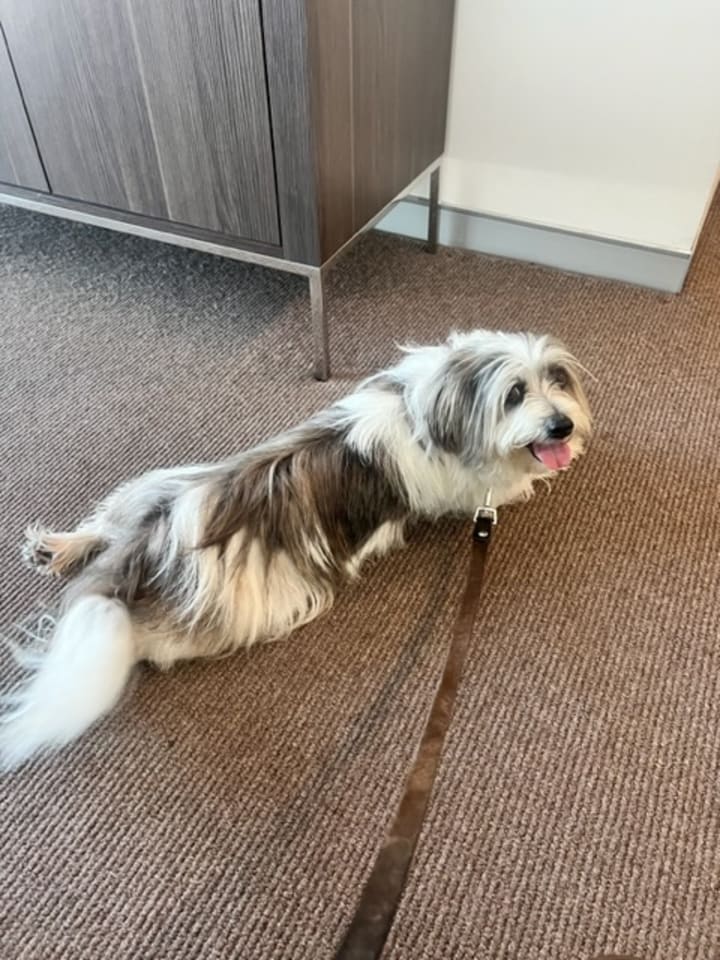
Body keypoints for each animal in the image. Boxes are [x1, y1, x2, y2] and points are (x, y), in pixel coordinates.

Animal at [0, 329, 591, 770]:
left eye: (556, 379)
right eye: (514, 394)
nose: (562, 425)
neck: (427, 406)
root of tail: (155, 540)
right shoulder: (475, 492)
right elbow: (515, 481)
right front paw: (544, 469)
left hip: (154, 484)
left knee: (106, 521)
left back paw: (57, 548)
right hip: (244, 605)